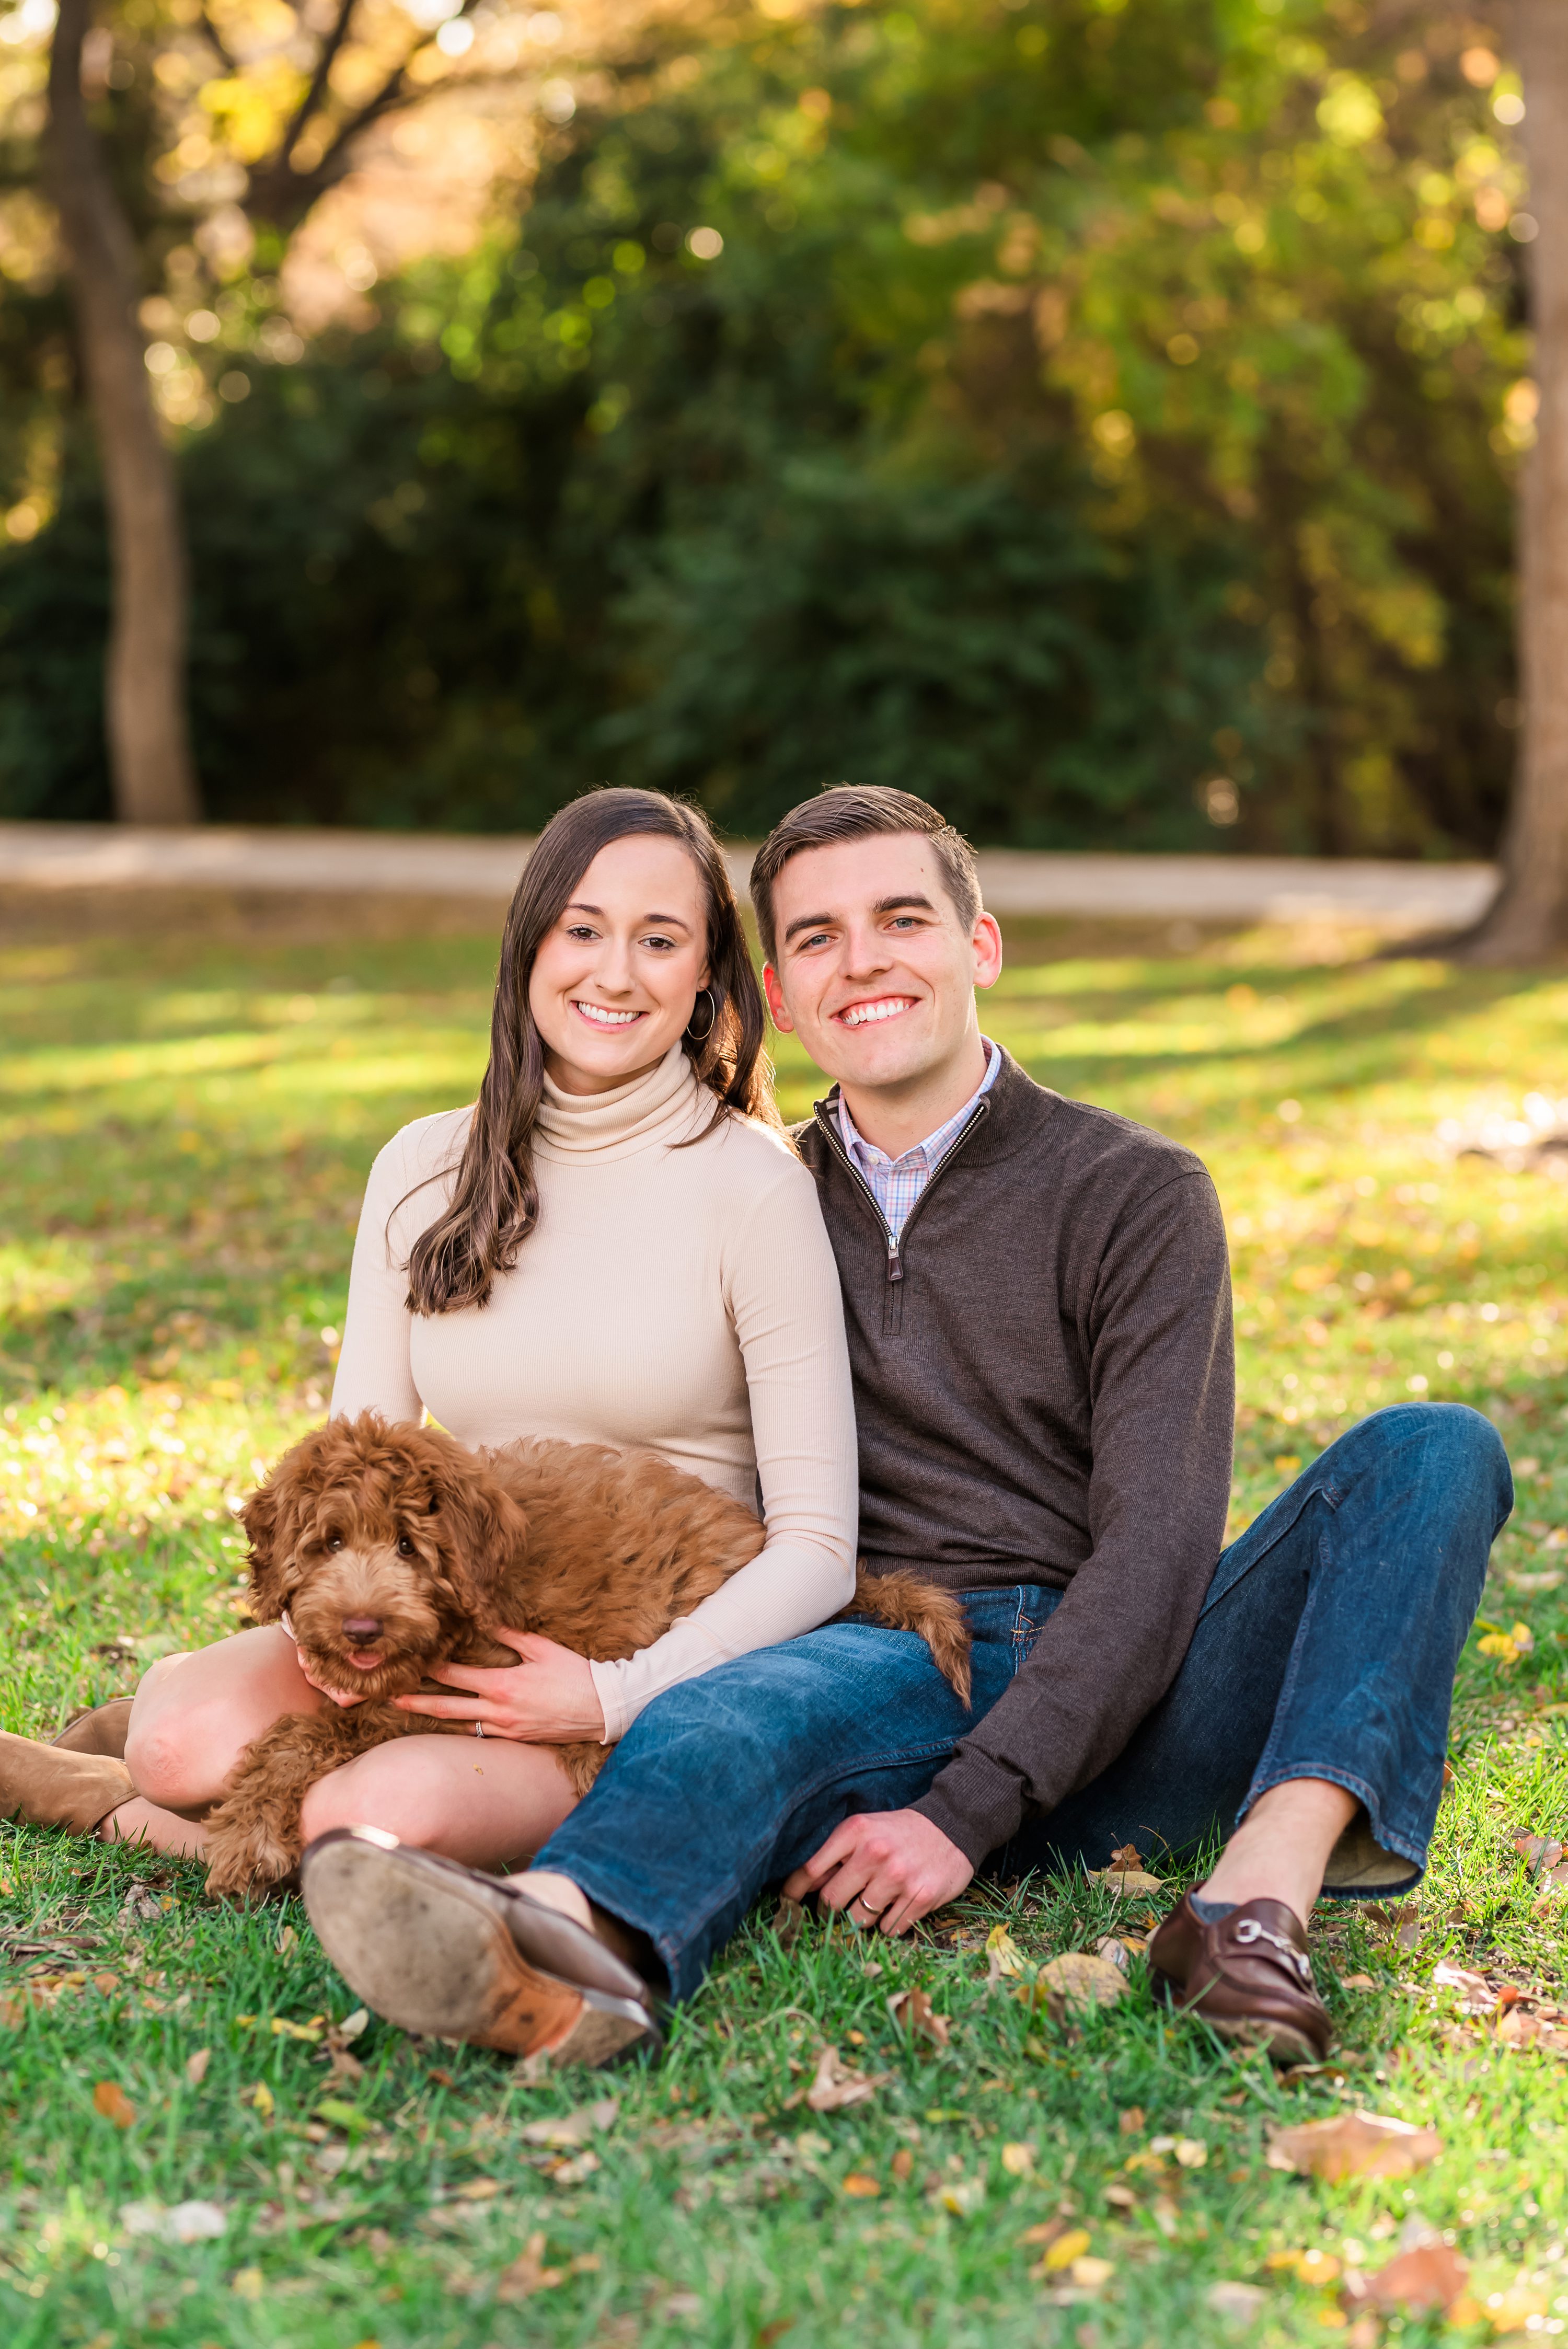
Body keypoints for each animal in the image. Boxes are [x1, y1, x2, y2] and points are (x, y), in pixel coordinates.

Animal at [199, 1409, 967, 1889]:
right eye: (329, 1542)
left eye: (408, 1546)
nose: (361, 1630)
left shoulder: (449, 1695)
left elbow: (305, 1732)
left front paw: (244, 1838)